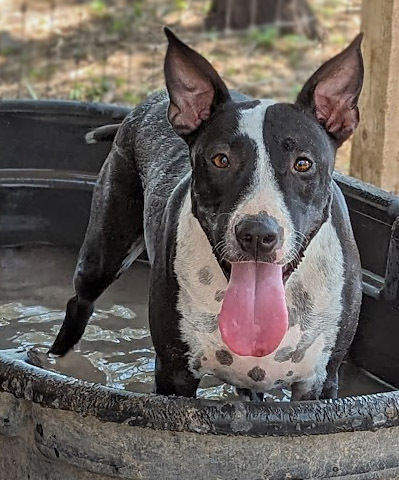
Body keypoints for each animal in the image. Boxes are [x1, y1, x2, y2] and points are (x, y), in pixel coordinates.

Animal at [50, 27, 366, 402]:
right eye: (220, 160)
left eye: (302, 163)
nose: (257, 233)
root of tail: (149, 102)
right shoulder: (174, 375)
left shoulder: (319, 384)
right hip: (103, 252)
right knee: (79, 302)